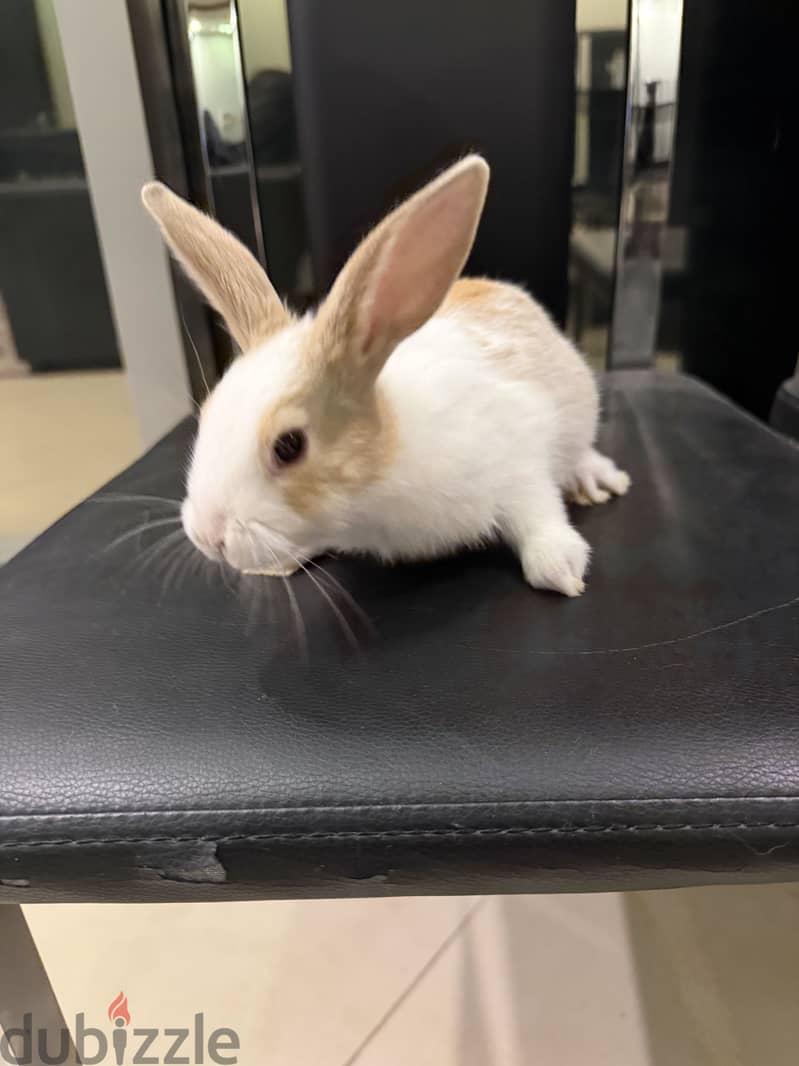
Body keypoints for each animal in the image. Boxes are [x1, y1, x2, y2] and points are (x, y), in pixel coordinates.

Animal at [142, 155, 629, 597]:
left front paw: (561, 567)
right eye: (206, 416)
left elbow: (536, 507)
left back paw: (597, 479)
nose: (206, 535)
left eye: (289, 446)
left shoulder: (518, 457)